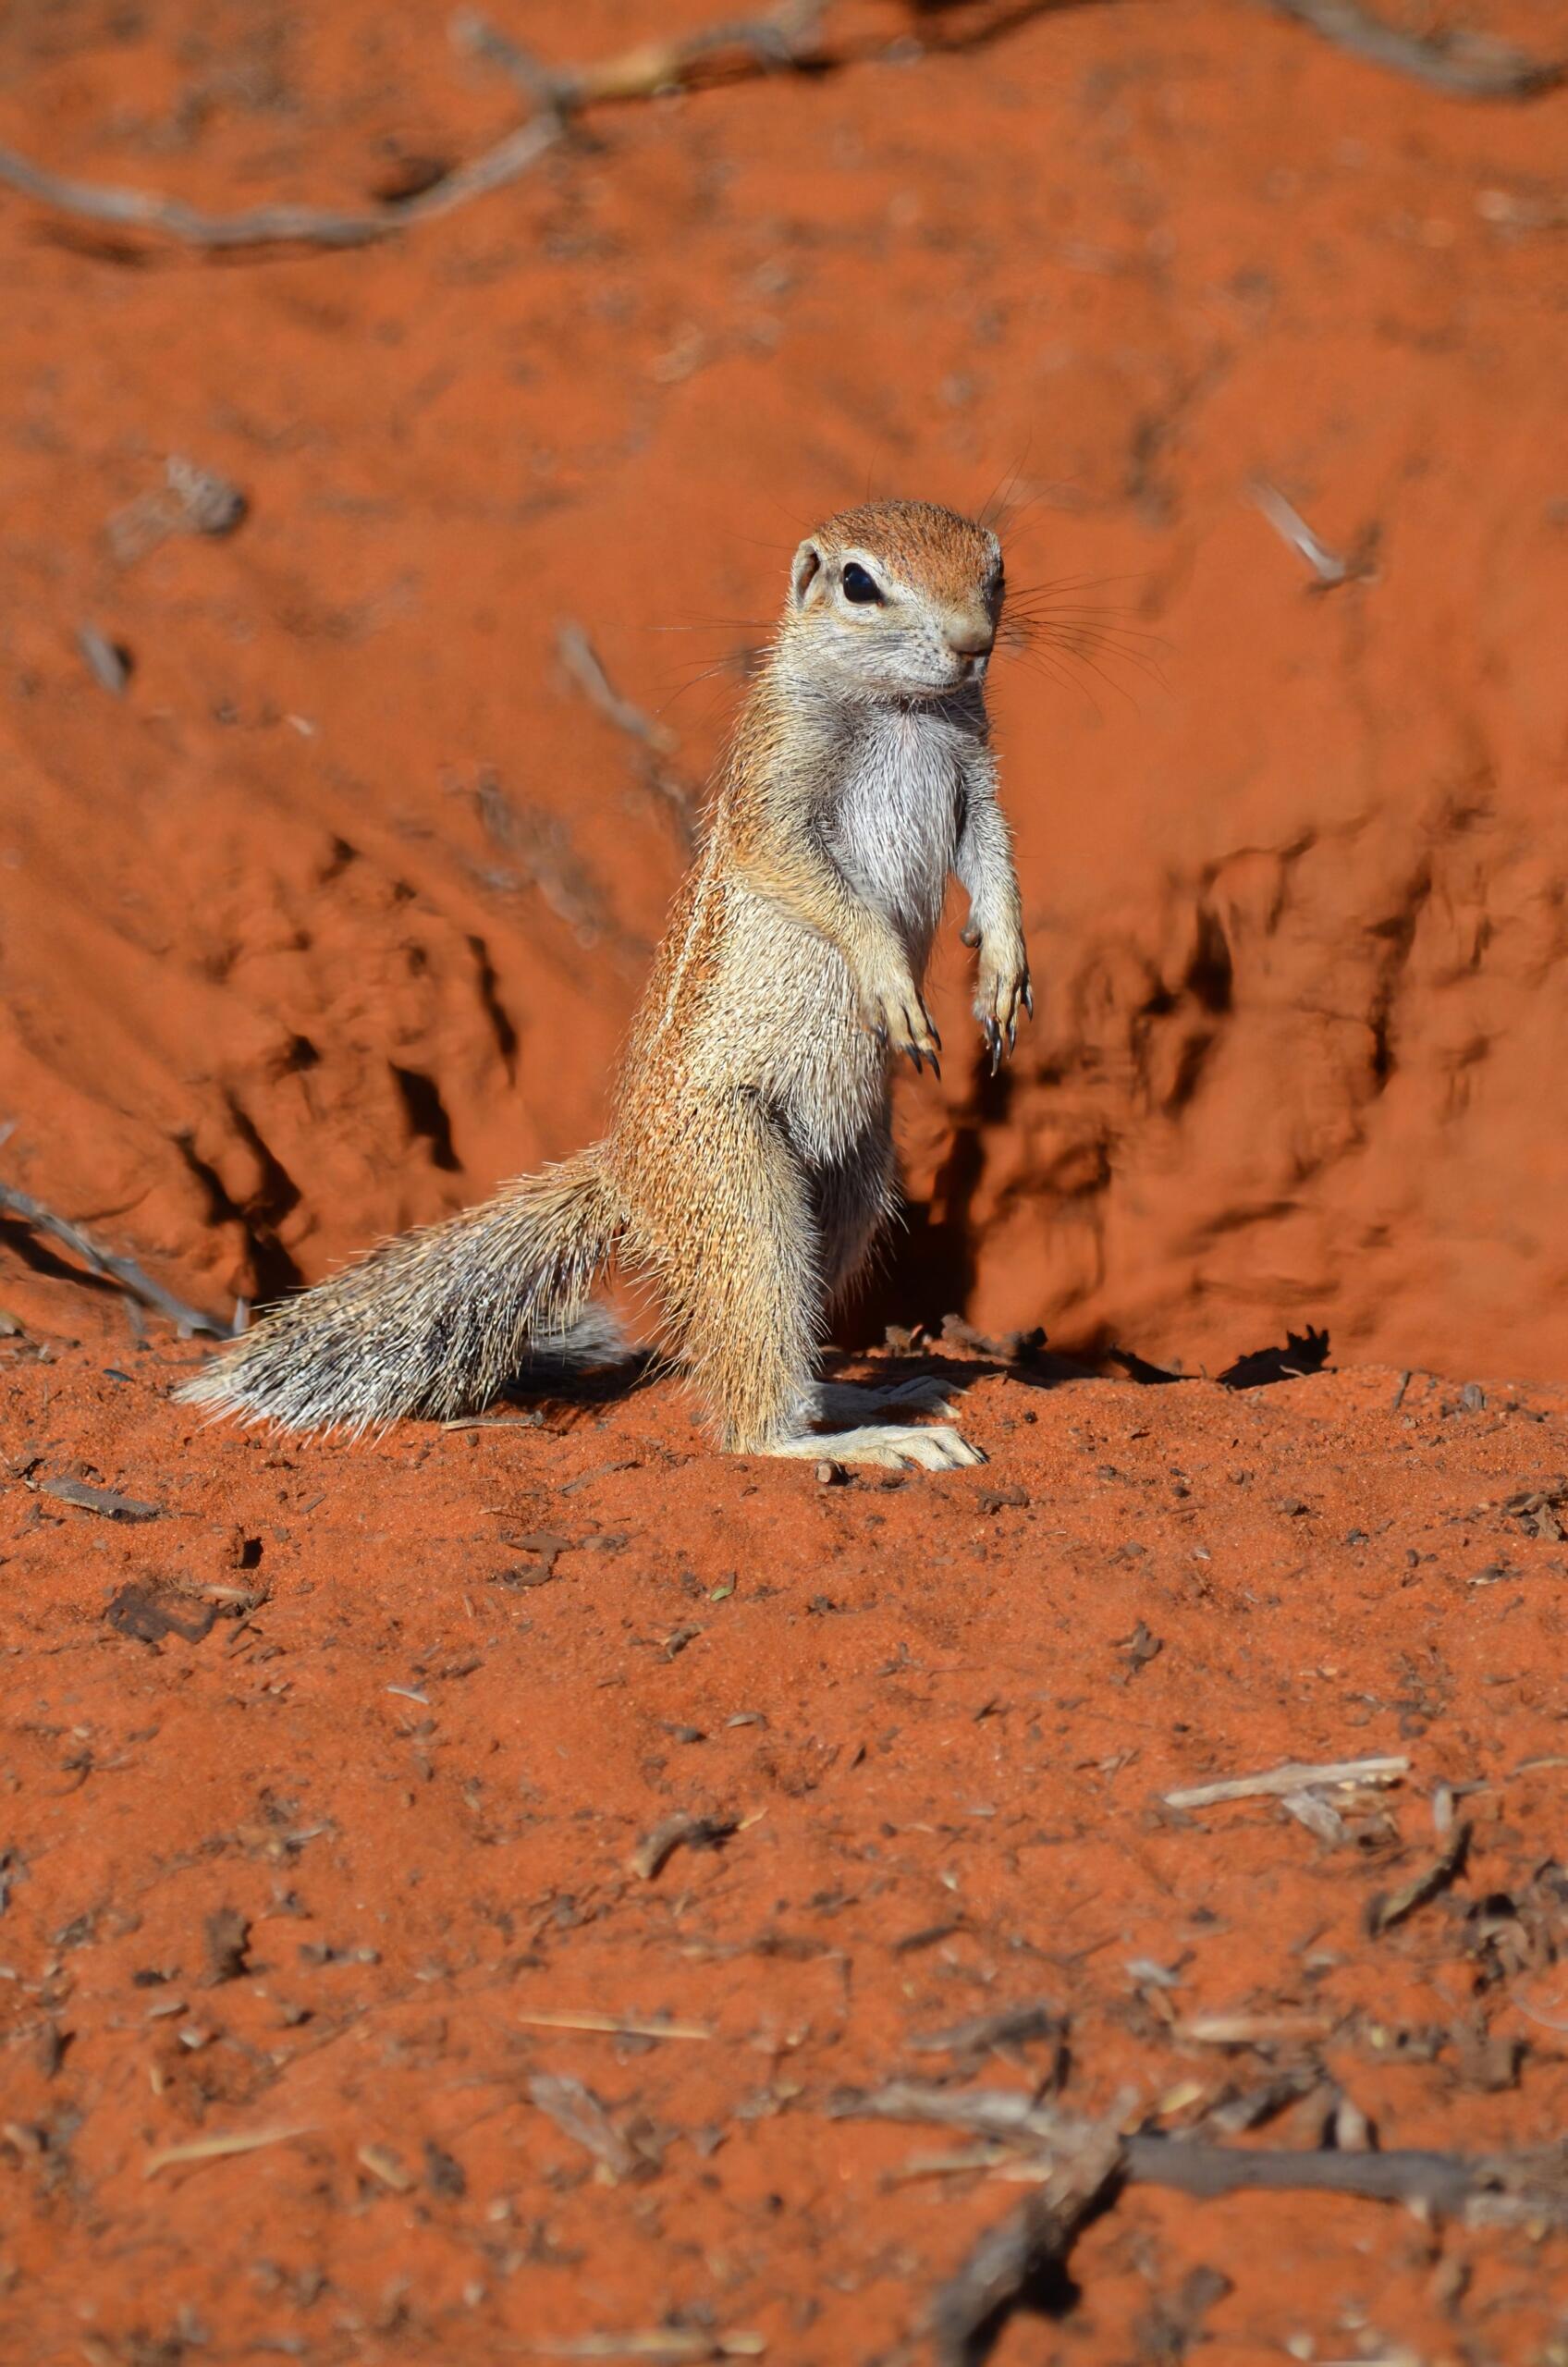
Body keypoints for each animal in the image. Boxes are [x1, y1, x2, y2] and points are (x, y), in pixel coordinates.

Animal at [181, 500, 1031, 1470]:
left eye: (995, 570)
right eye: (859, 583)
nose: (973, 643)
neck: (905, 710)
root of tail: (623, 1171)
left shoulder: (977, 773)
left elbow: (994, 858)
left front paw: (1004, 967)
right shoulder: (775, 787)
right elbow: (807, 876)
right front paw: (892, 977)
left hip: (852, 1182)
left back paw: (865, 1399)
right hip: (735, 1180)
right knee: (746, 1404)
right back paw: (856, 1440)